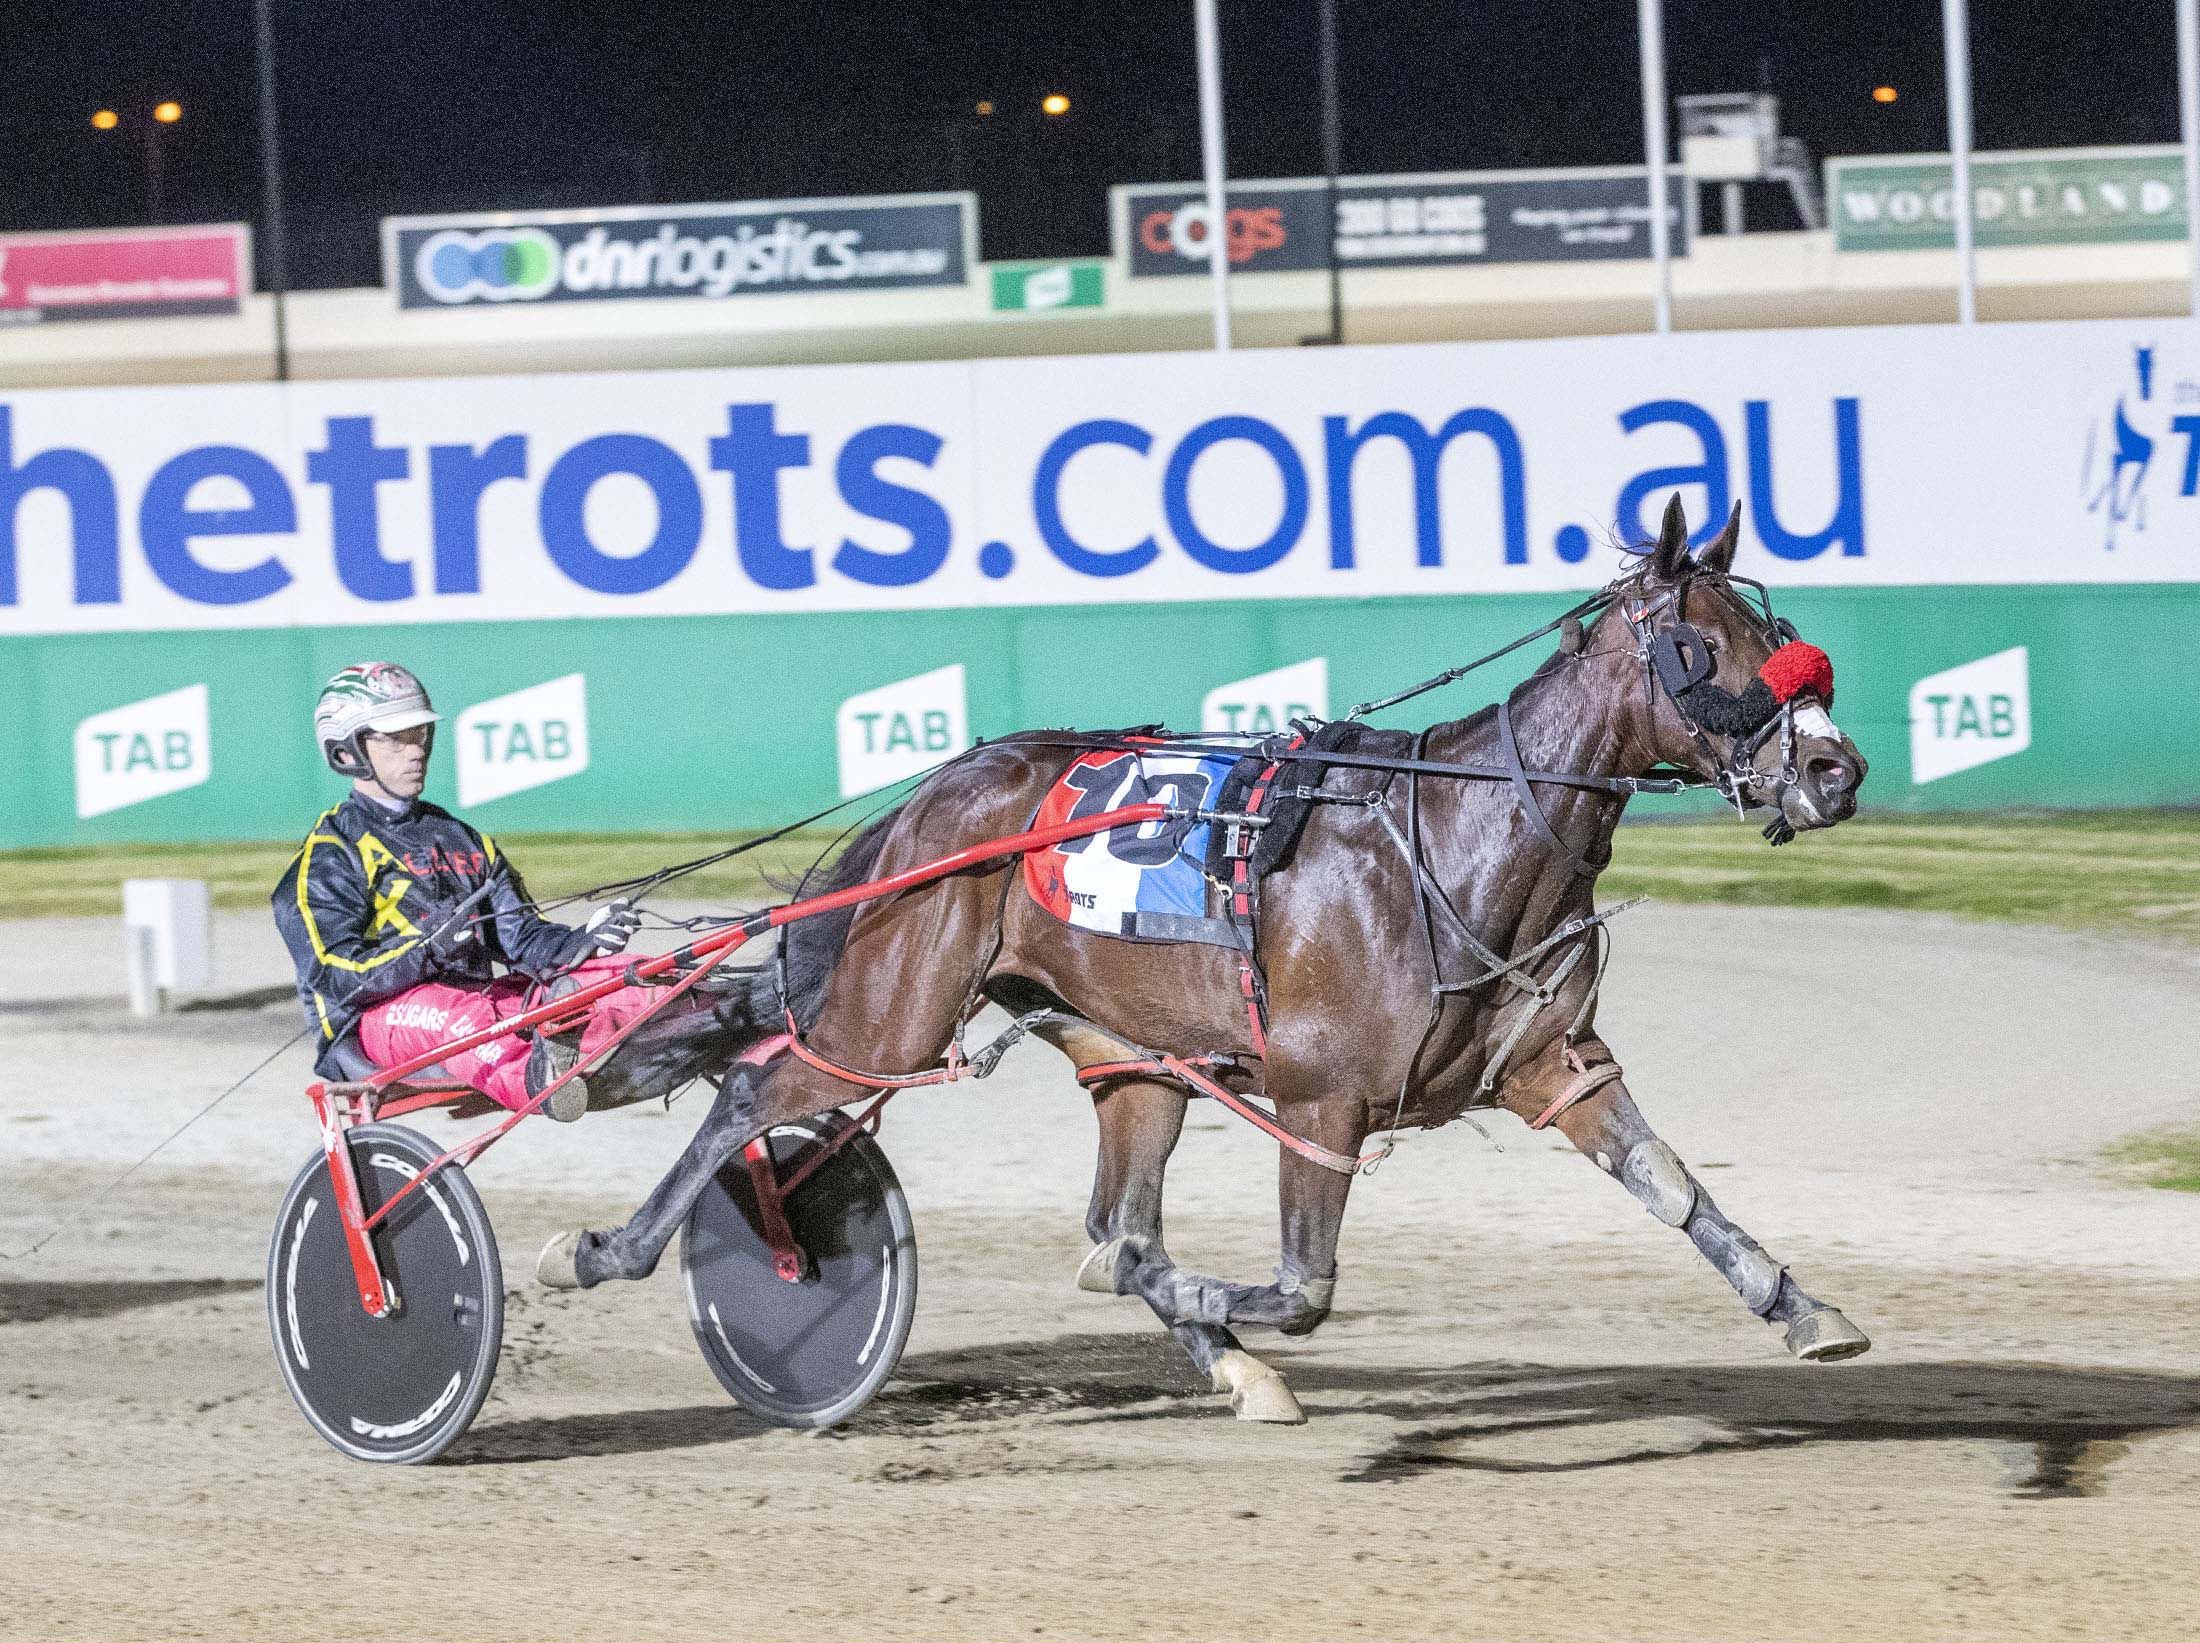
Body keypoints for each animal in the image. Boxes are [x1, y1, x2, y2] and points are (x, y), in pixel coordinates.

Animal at [545, 497, 1874, 1425]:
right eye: (1700, 644)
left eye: (1779, 631)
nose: (1834, 768)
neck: (1459, 838)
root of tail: (936, 793)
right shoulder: (1322, 1097)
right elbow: (1300, 1284)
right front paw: (1188, 1295)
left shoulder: (1553, 1064)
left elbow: (1674, 1187)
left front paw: (1803, 1307)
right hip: (891, 1010)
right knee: (754, 1086)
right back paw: (608, 1246)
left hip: (1128, 1055)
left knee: (1113, 1205)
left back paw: (1234, 1368)